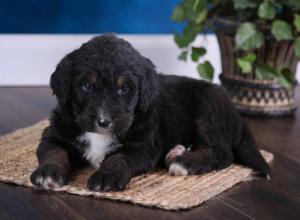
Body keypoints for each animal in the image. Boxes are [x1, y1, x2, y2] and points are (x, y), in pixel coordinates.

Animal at [29, 34, 270, 191]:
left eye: (124, 89)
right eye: (86, 86)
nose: (103, 121)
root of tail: (235, 112)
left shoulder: (142, 147)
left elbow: (118, 158)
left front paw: (106, 176)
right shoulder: (54, 135)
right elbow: (54, 152)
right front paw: (48, 173)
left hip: (207, 113)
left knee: (221, 152)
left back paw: (184, 162)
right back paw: (177, 152)